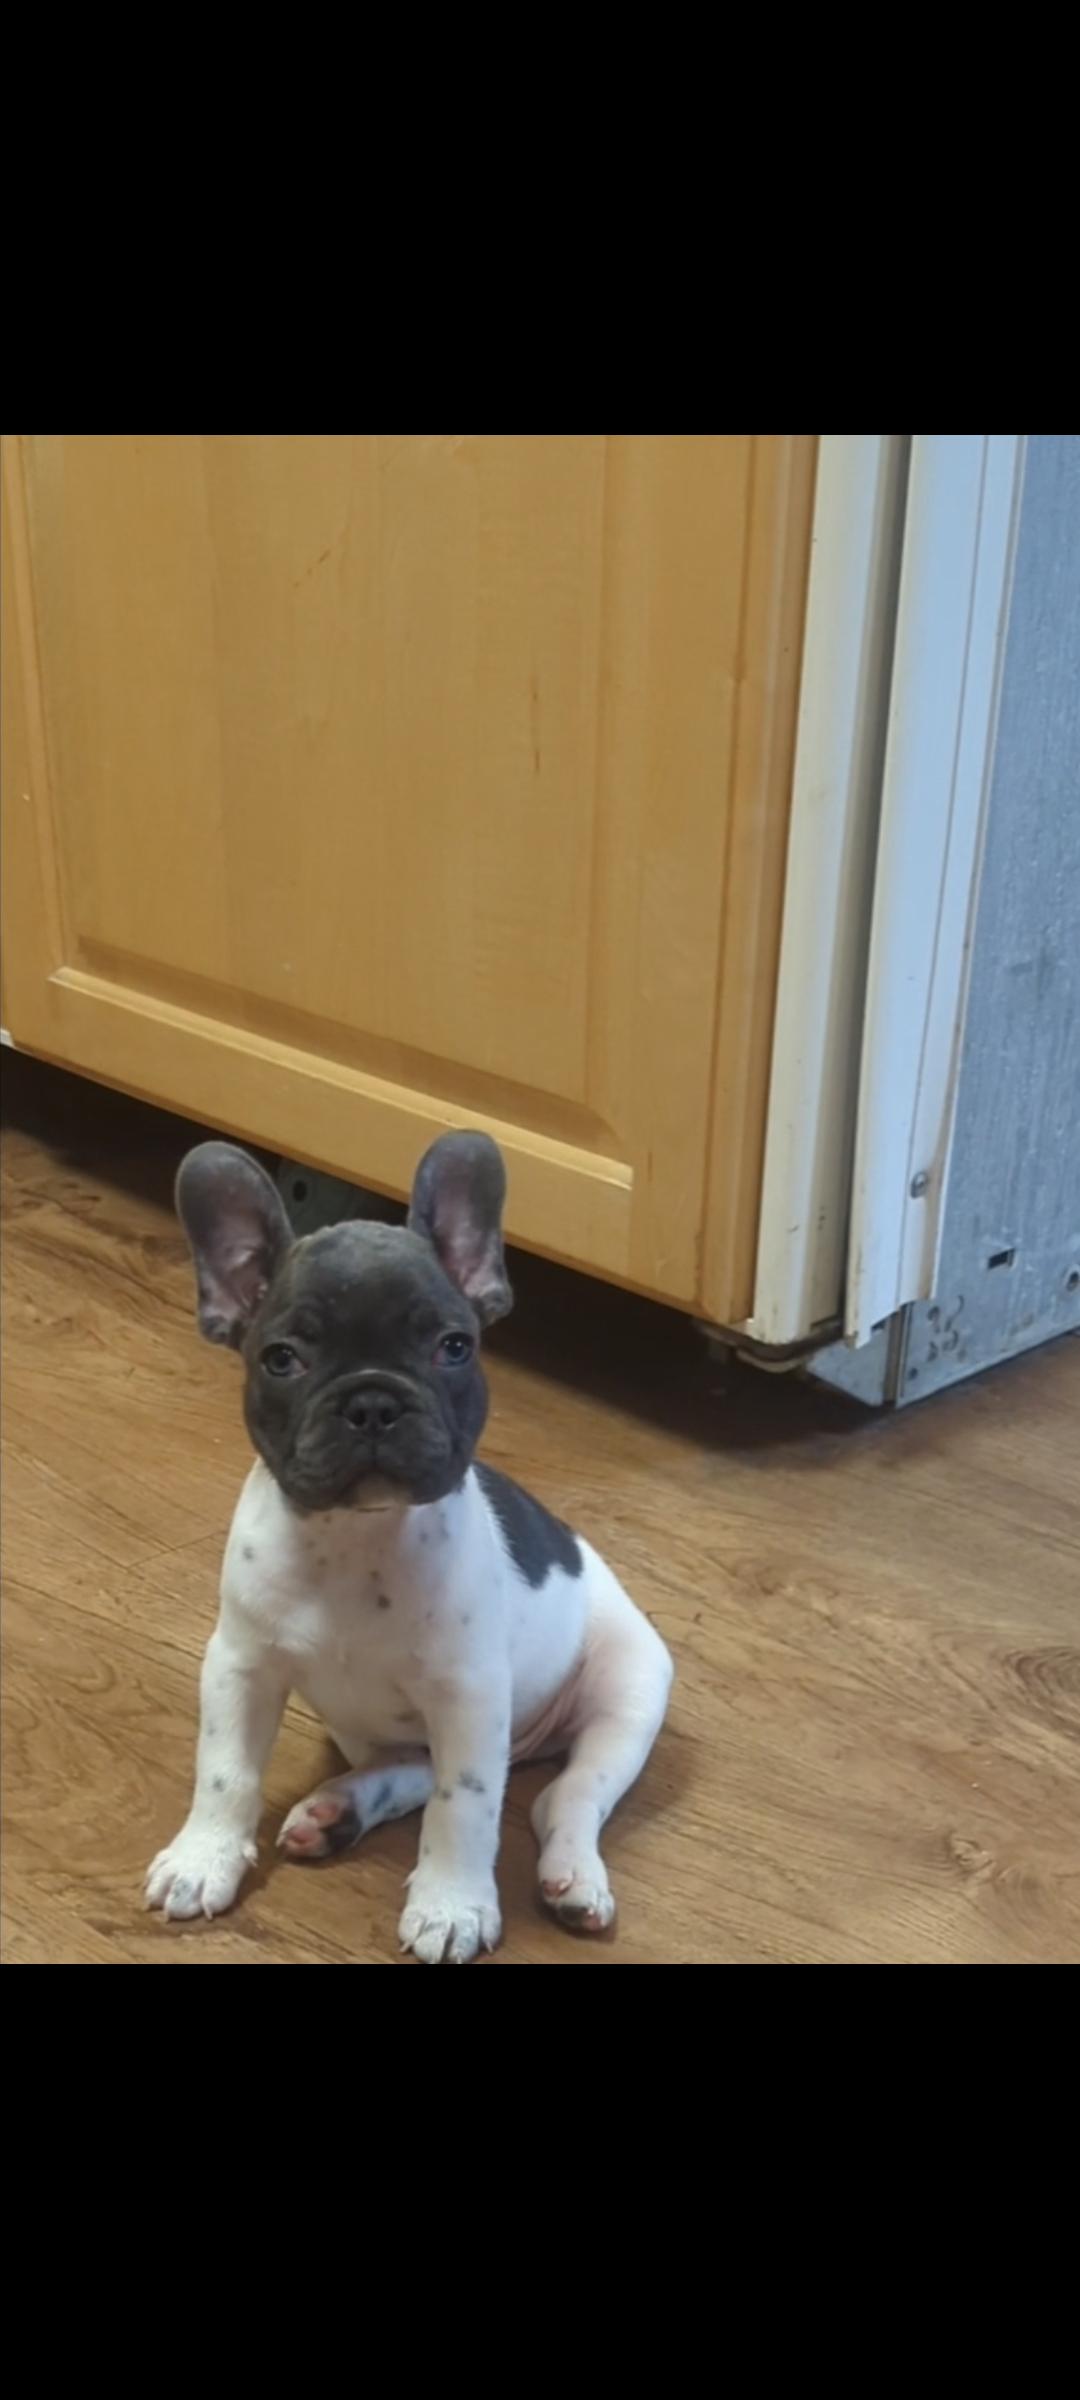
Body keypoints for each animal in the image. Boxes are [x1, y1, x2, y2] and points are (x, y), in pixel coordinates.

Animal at [146, 1131, 673, 1962]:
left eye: (453, 1347)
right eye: (282, 1358)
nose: (372, 1401)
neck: (355, 1538)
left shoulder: (467, 1697)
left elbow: (465, 1809)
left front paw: (452, 1906)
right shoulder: (240, 1666)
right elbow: (225, 1770)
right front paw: (205, 1858)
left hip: (629, 1691)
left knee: (562, 1797)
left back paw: (574, 1878)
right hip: (373, 1732)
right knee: (412, 1768)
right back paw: (336, 1811)